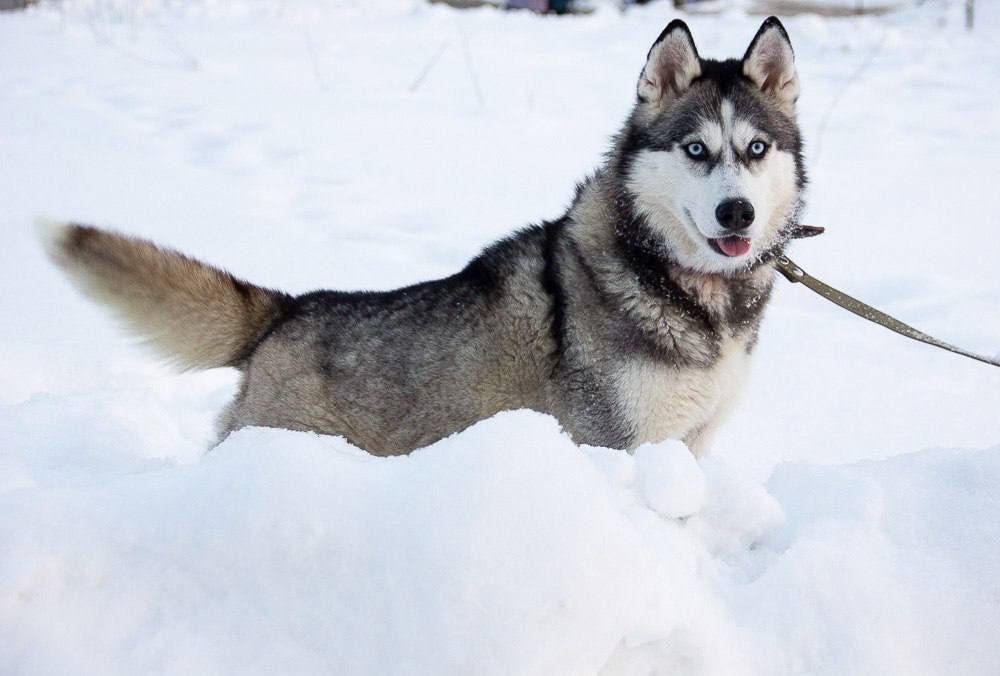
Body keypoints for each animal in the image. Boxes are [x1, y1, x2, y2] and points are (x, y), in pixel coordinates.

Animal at [42, 17, 805, 456]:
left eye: (757, 149)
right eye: (696, 150)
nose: (736, 213)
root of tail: (289, 309)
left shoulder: (691, 443)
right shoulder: (615, 444)